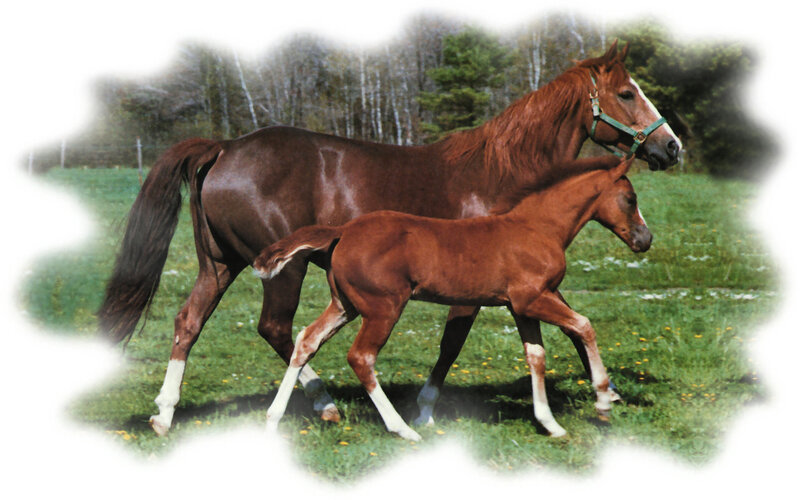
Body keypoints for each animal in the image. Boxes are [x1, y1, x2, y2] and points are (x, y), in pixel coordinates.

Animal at [254, 155, 648, 439]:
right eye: (631, 199)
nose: (645, 239)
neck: (536, 227)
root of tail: (342, 230)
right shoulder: (534, 299)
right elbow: (584, 326)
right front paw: (603, 400)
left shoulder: (520, 306)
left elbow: (536, 356)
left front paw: (550, 424)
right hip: (383, 308)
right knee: (361, 357)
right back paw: (403, 428)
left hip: (345, 306)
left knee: (307, 340)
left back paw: (274, 419)